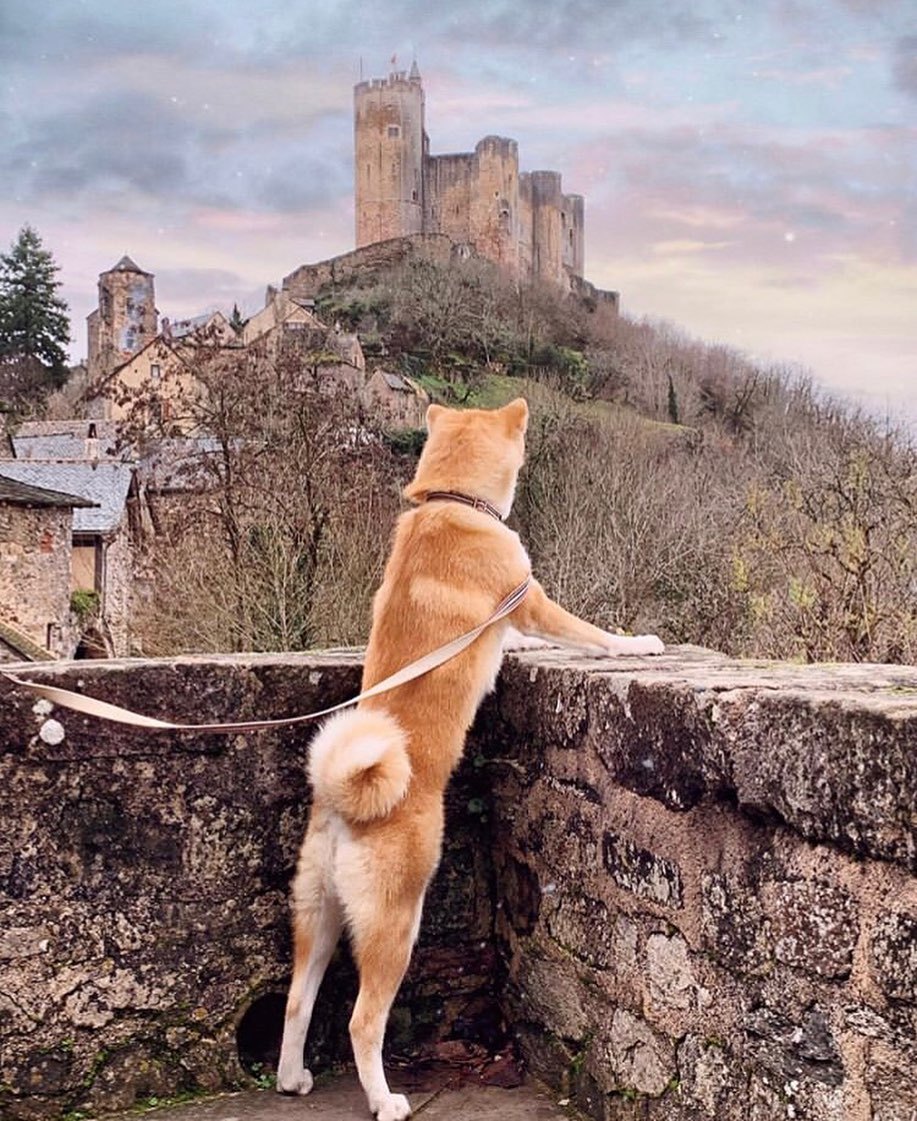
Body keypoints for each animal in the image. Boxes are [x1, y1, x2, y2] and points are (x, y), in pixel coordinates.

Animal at [274, 399, 659, 1116]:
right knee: (362, 1020)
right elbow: (589, 633)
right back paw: (385, 1099)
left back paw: (290, 1078)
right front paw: (639, 643)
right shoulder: (528, 598)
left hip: (320, 914)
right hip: (397, 920)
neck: (451, 503)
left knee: (296, 1001)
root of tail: (345, 804)